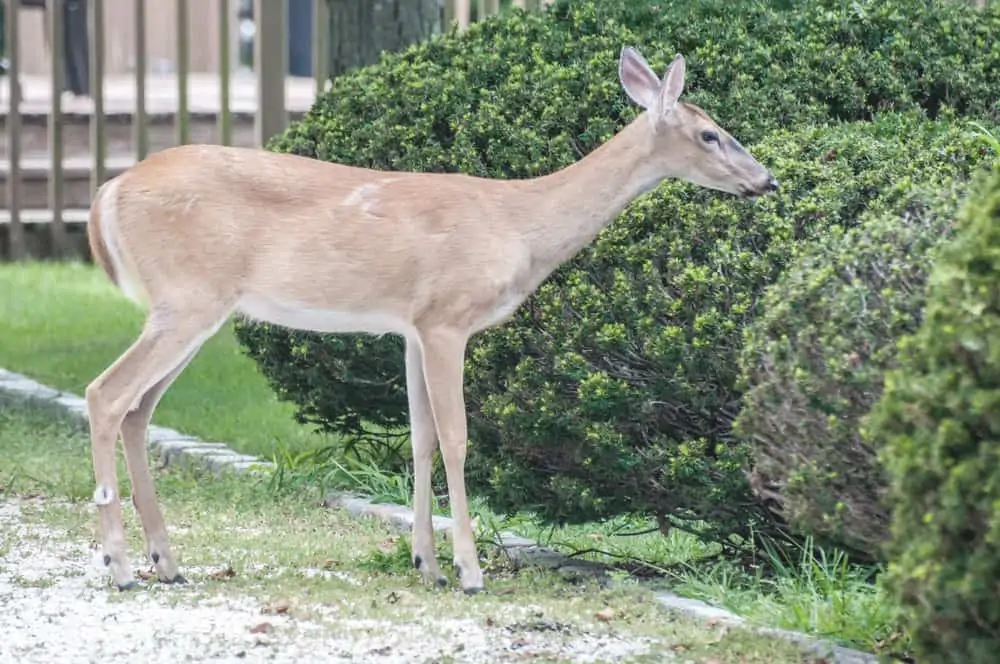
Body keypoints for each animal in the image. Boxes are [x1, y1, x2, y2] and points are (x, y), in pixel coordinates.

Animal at [82, 46, 776, 596]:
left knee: (138, 410)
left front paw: (427, 564)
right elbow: (458, 438)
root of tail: (107, 193)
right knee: (105, 394)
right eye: (710, 134)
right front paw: (469, 571)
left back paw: (167, 562)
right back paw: (120, 566)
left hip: (193, 308)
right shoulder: (448, 317)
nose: (766, 180)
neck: (519, 224)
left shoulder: (410, 327)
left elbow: (420, 439)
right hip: (189, 296)